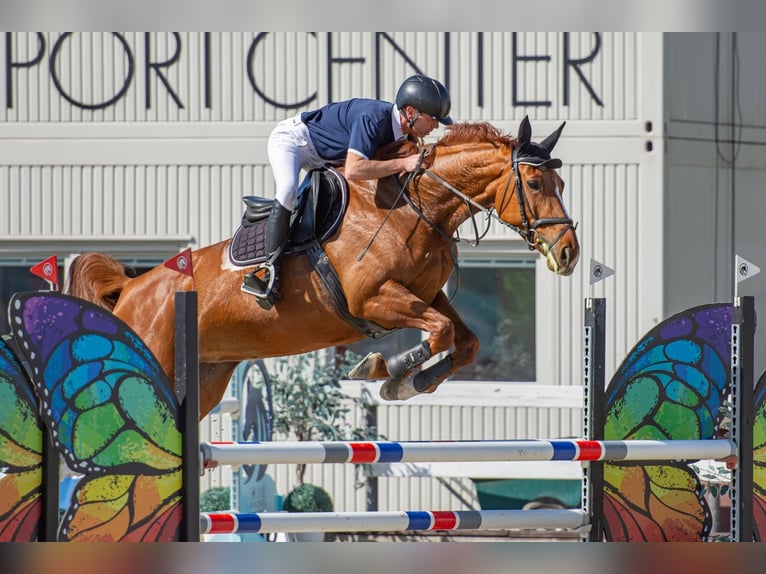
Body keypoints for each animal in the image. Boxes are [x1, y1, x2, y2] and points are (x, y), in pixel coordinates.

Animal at [67, 118, 584, 424]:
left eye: (561, 181)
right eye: (534, 183)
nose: (570, 254)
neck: (415, 207)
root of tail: (132, 287)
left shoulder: (425, 295)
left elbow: (464, 339)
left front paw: (408, 383)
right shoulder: (374, 299)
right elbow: (438, 333)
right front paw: (387, 368)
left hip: (205, 377)